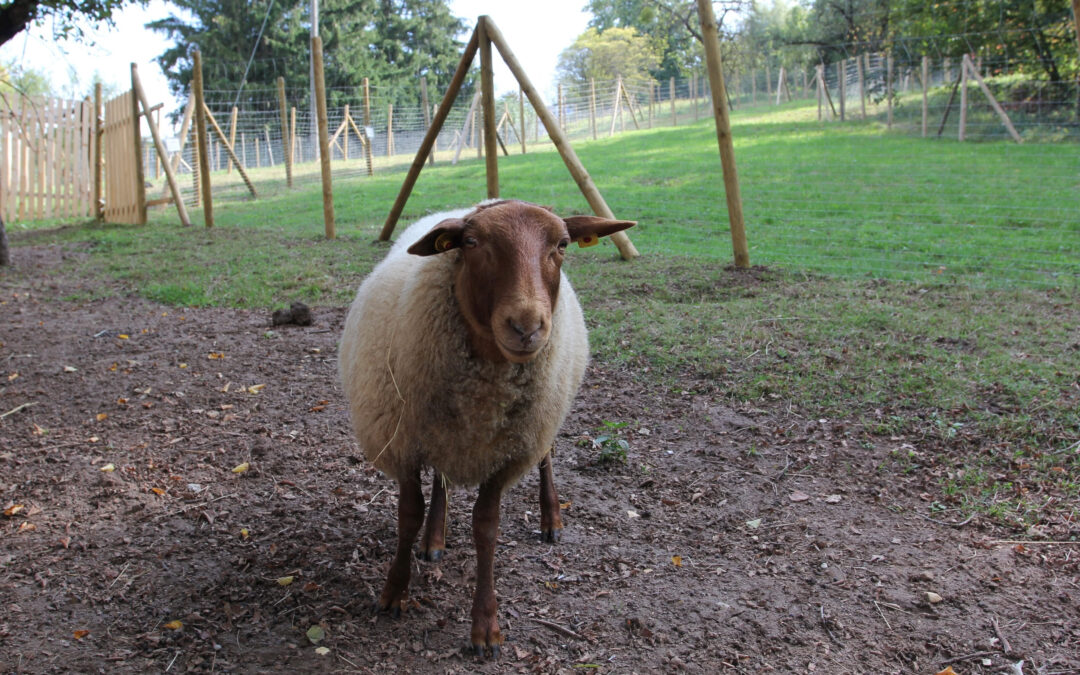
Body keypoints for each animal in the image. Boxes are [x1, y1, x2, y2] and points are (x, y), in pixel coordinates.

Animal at [339, 197, 630, 652]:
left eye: (562, 244)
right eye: (472, 243)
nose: (526, 327)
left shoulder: (507, 455)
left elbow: (486, 528)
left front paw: (485, 627)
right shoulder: (404, 442)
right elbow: (408, 515)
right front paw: (394, 591)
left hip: (538, 424)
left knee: (546, 458)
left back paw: (551, 519)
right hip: (441, 432)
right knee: (439, 481)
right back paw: (434, 539)